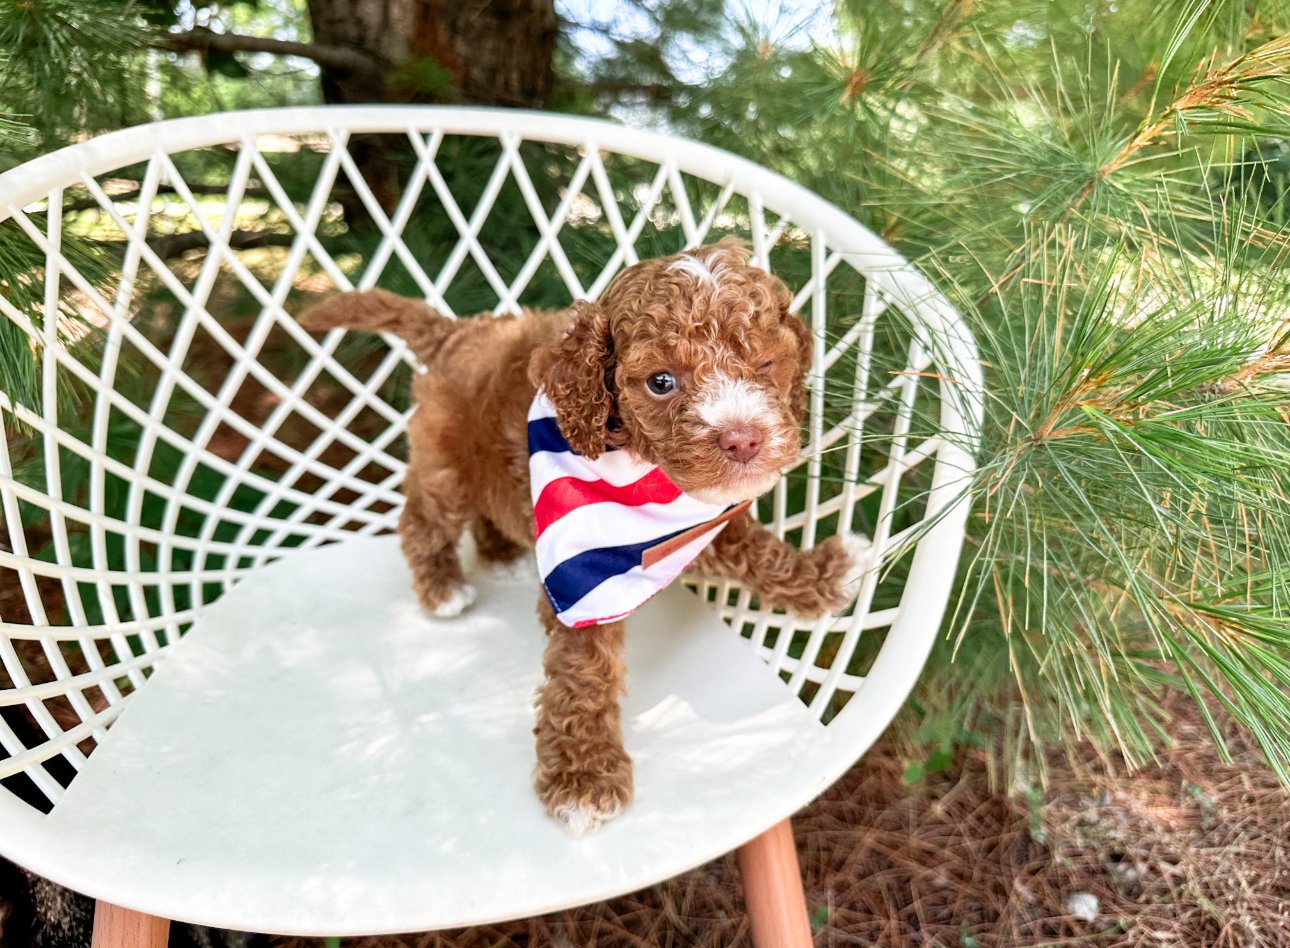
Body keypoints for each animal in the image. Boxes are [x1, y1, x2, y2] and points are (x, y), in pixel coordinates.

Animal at [299, 242, 866, 835]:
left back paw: (501, 552)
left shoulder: (696, 521)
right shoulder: (582, 580)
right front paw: (583, 777)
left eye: (765, 364)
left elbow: (752, 550)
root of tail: (457, 330)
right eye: (661, 382)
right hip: (445, 465)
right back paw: (441, 588)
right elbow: (583, 672)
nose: (743, 439)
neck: (644, 474)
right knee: (423, 519)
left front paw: (826, 576)